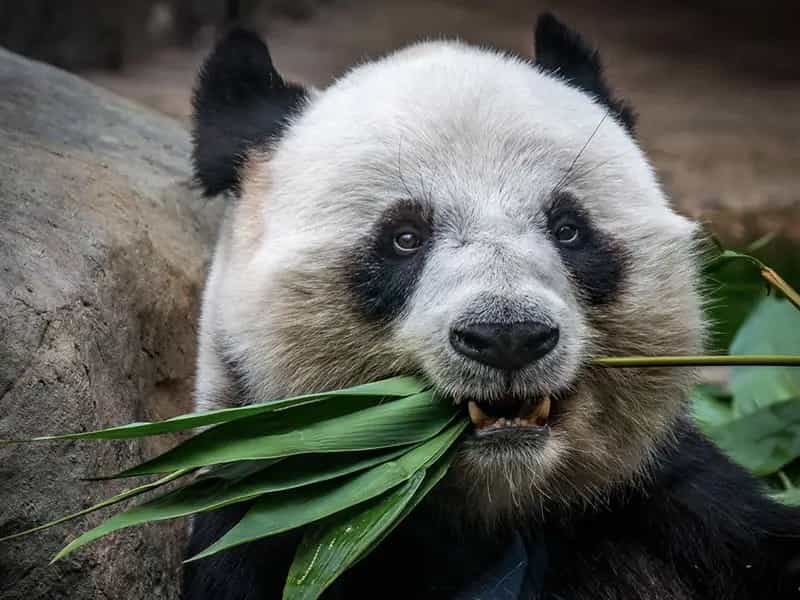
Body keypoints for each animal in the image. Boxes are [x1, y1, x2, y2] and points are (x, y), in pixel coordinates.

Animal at [182, 13, 800, 600]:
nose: (508, 336)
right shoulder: (272, 519)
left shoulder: (663, 499)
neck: (495, 504)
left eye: (568, 228)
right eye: (404, 238)